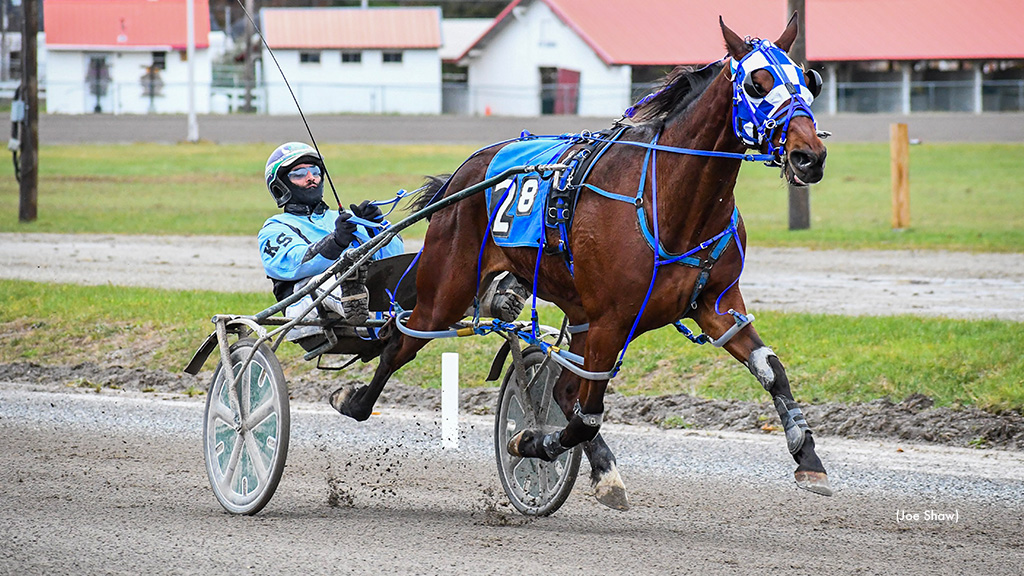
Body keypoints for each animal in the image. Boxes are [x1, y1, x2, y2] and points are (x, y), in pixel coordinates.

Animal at [330, 15, 832, 508]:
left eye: (810, 81)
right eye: (756, 83)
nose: (809, 157)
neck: (667, 200)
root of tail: (463, 173)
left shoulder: (715, 304)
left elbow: (771, 369)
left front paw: (808, 458)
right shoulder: (612, 319)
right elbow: (587, 413)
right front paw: (529, 442)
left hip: (576, 313)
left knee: (561, 389)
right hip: (447, 290)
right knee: (401, 341)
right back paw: (353, 400)